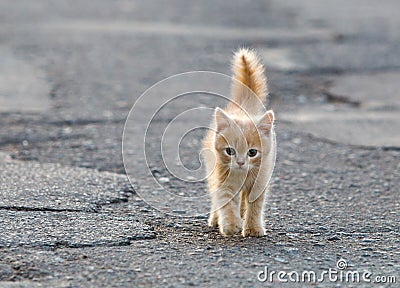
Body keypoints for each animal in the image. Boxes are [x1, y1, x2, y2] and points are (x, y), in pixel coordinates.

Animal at [203, 47, 276, 236]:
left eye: (252, 152)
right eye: (230, 151)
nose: (241, 162)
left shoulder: (260, 179)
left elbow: (255, 206)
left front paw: (252, 228)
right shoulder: (223, 178)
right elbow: (225, 201)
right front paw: (230, 224)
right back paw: (215, 219)